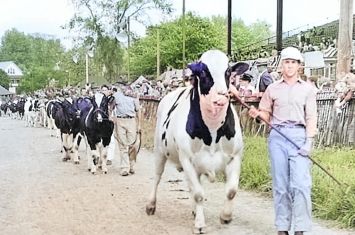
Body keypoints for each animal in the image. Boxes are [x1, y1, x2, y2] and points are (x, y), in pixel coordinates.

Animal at [146, 49, 249, 233]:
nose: (220, 99)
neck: (212, 134)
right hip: (159, 150)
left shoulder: (235, 156)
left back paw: (195, 211)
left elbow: (231, 190)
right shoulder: (187, 159)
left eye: (228, 72)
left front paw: (226, 216)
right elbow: (199, 194)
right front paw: (200, 224)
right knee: (157, 176)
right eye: (202, 72)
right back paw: (151, 205)